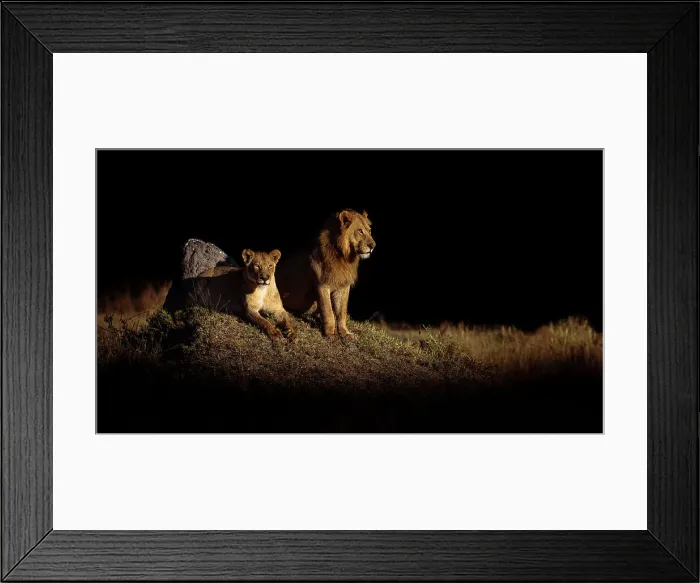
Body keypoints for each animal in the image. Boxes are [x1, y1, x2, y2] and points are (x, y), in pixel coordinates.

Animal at [163, 249, 294, 340]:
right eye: (257, 265)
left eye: (270, 265)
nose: (265, 278)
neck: (262, 290)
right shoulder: (250, 310)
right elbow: (264, 322)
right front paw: (275, 333)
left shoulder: (278, 309)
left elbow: (287, 319)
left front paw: (291, 333)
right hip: (199, 287)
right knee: (181, 307)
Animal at [275, 209, 376, 339]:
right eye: (360, 231)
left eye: (369, 231)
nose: (373, 246)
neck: (344, 257)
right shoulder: (322, 285)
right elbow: (328, 312)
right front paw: (331, 334)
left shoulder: (342, 286)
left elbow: (341, 312)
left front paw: (345, 333)